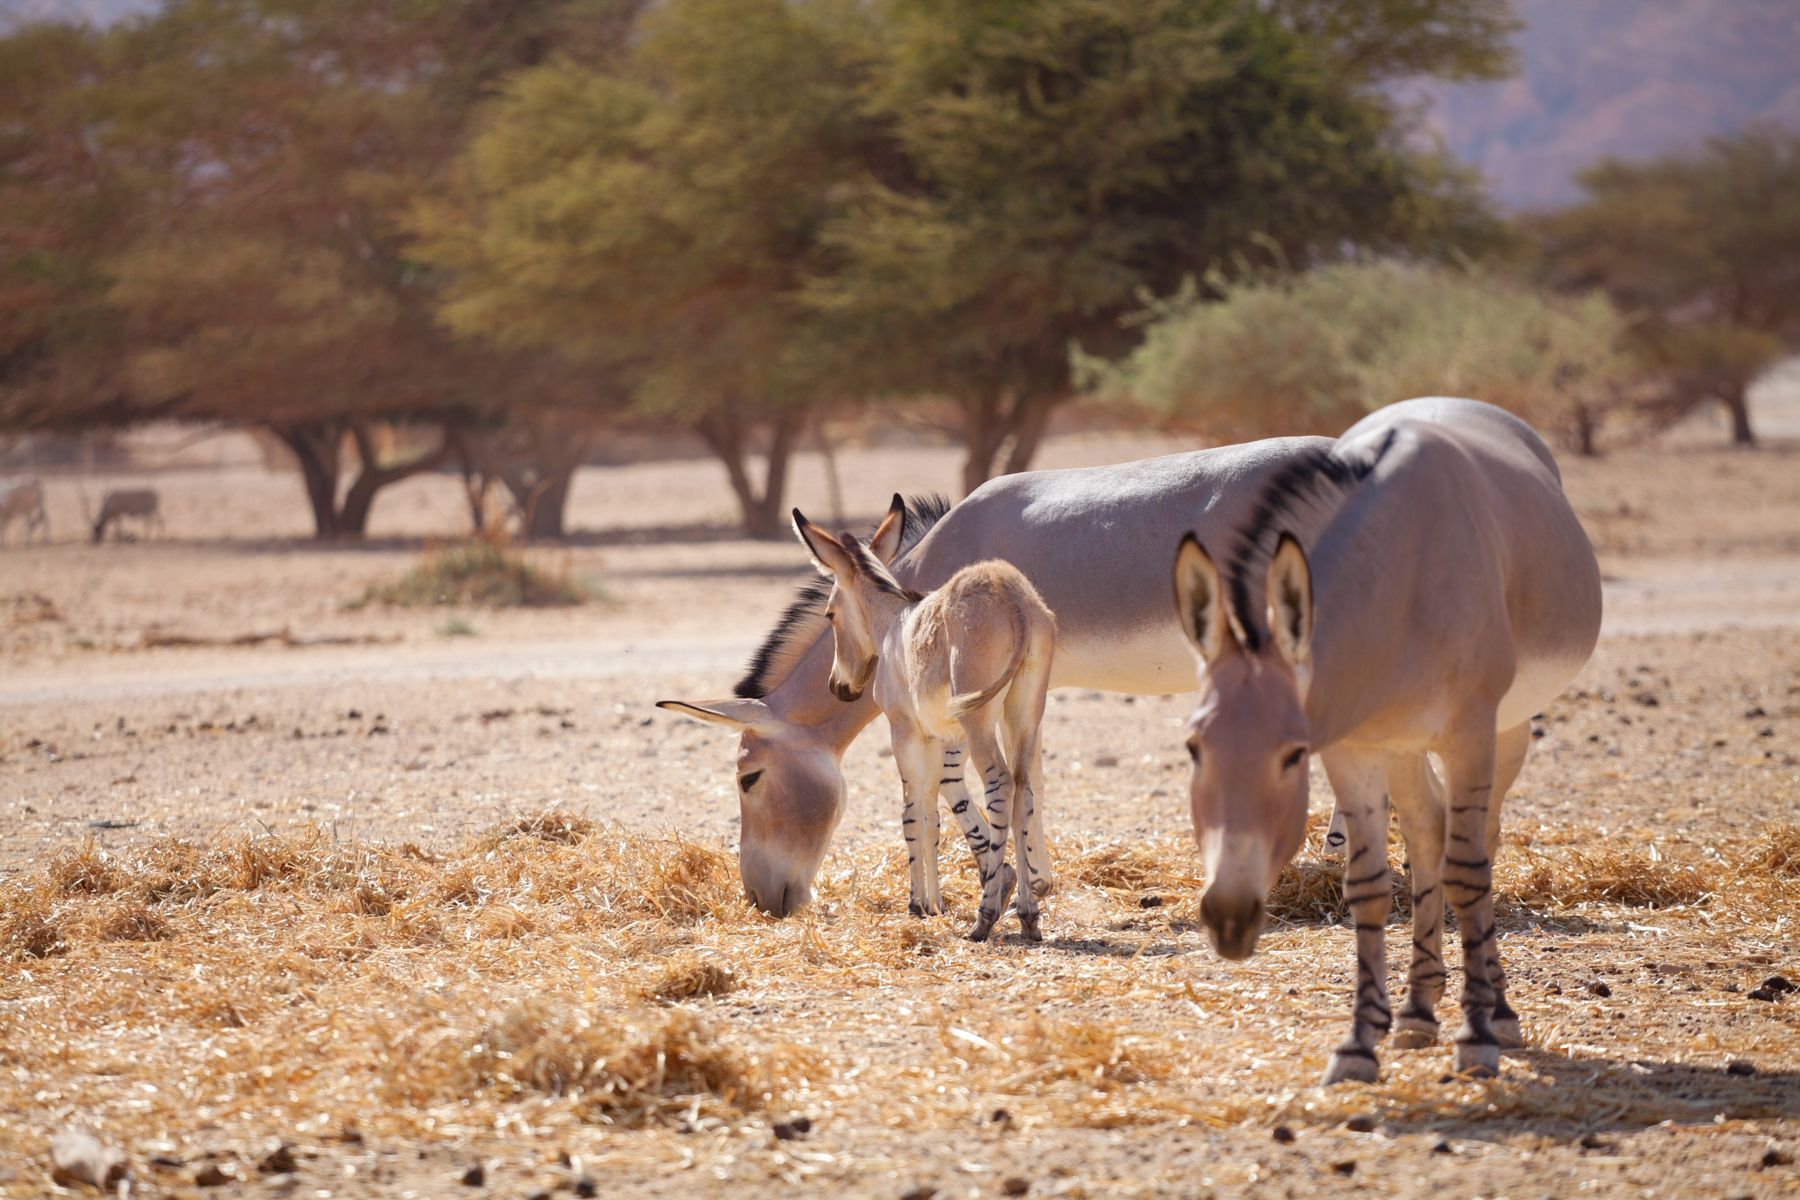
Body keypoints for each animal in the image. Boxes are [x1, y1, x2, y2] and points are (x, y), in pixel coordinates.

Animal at [792, 503, 1051, 942]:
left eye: (829, 614)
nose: (838, 687)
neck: (893, 625)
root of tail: (1011, 596)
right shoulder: (936, 737)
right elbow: (932, 815)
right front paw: (935, 905)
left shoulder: (905, 733)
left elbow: (912, 814)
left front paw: (918, 905)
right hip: (1025, 714)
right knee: (1024, 788)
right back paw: (1028, 917)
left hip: (980, 723)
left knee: (1000, 785)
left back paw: (985, 918)